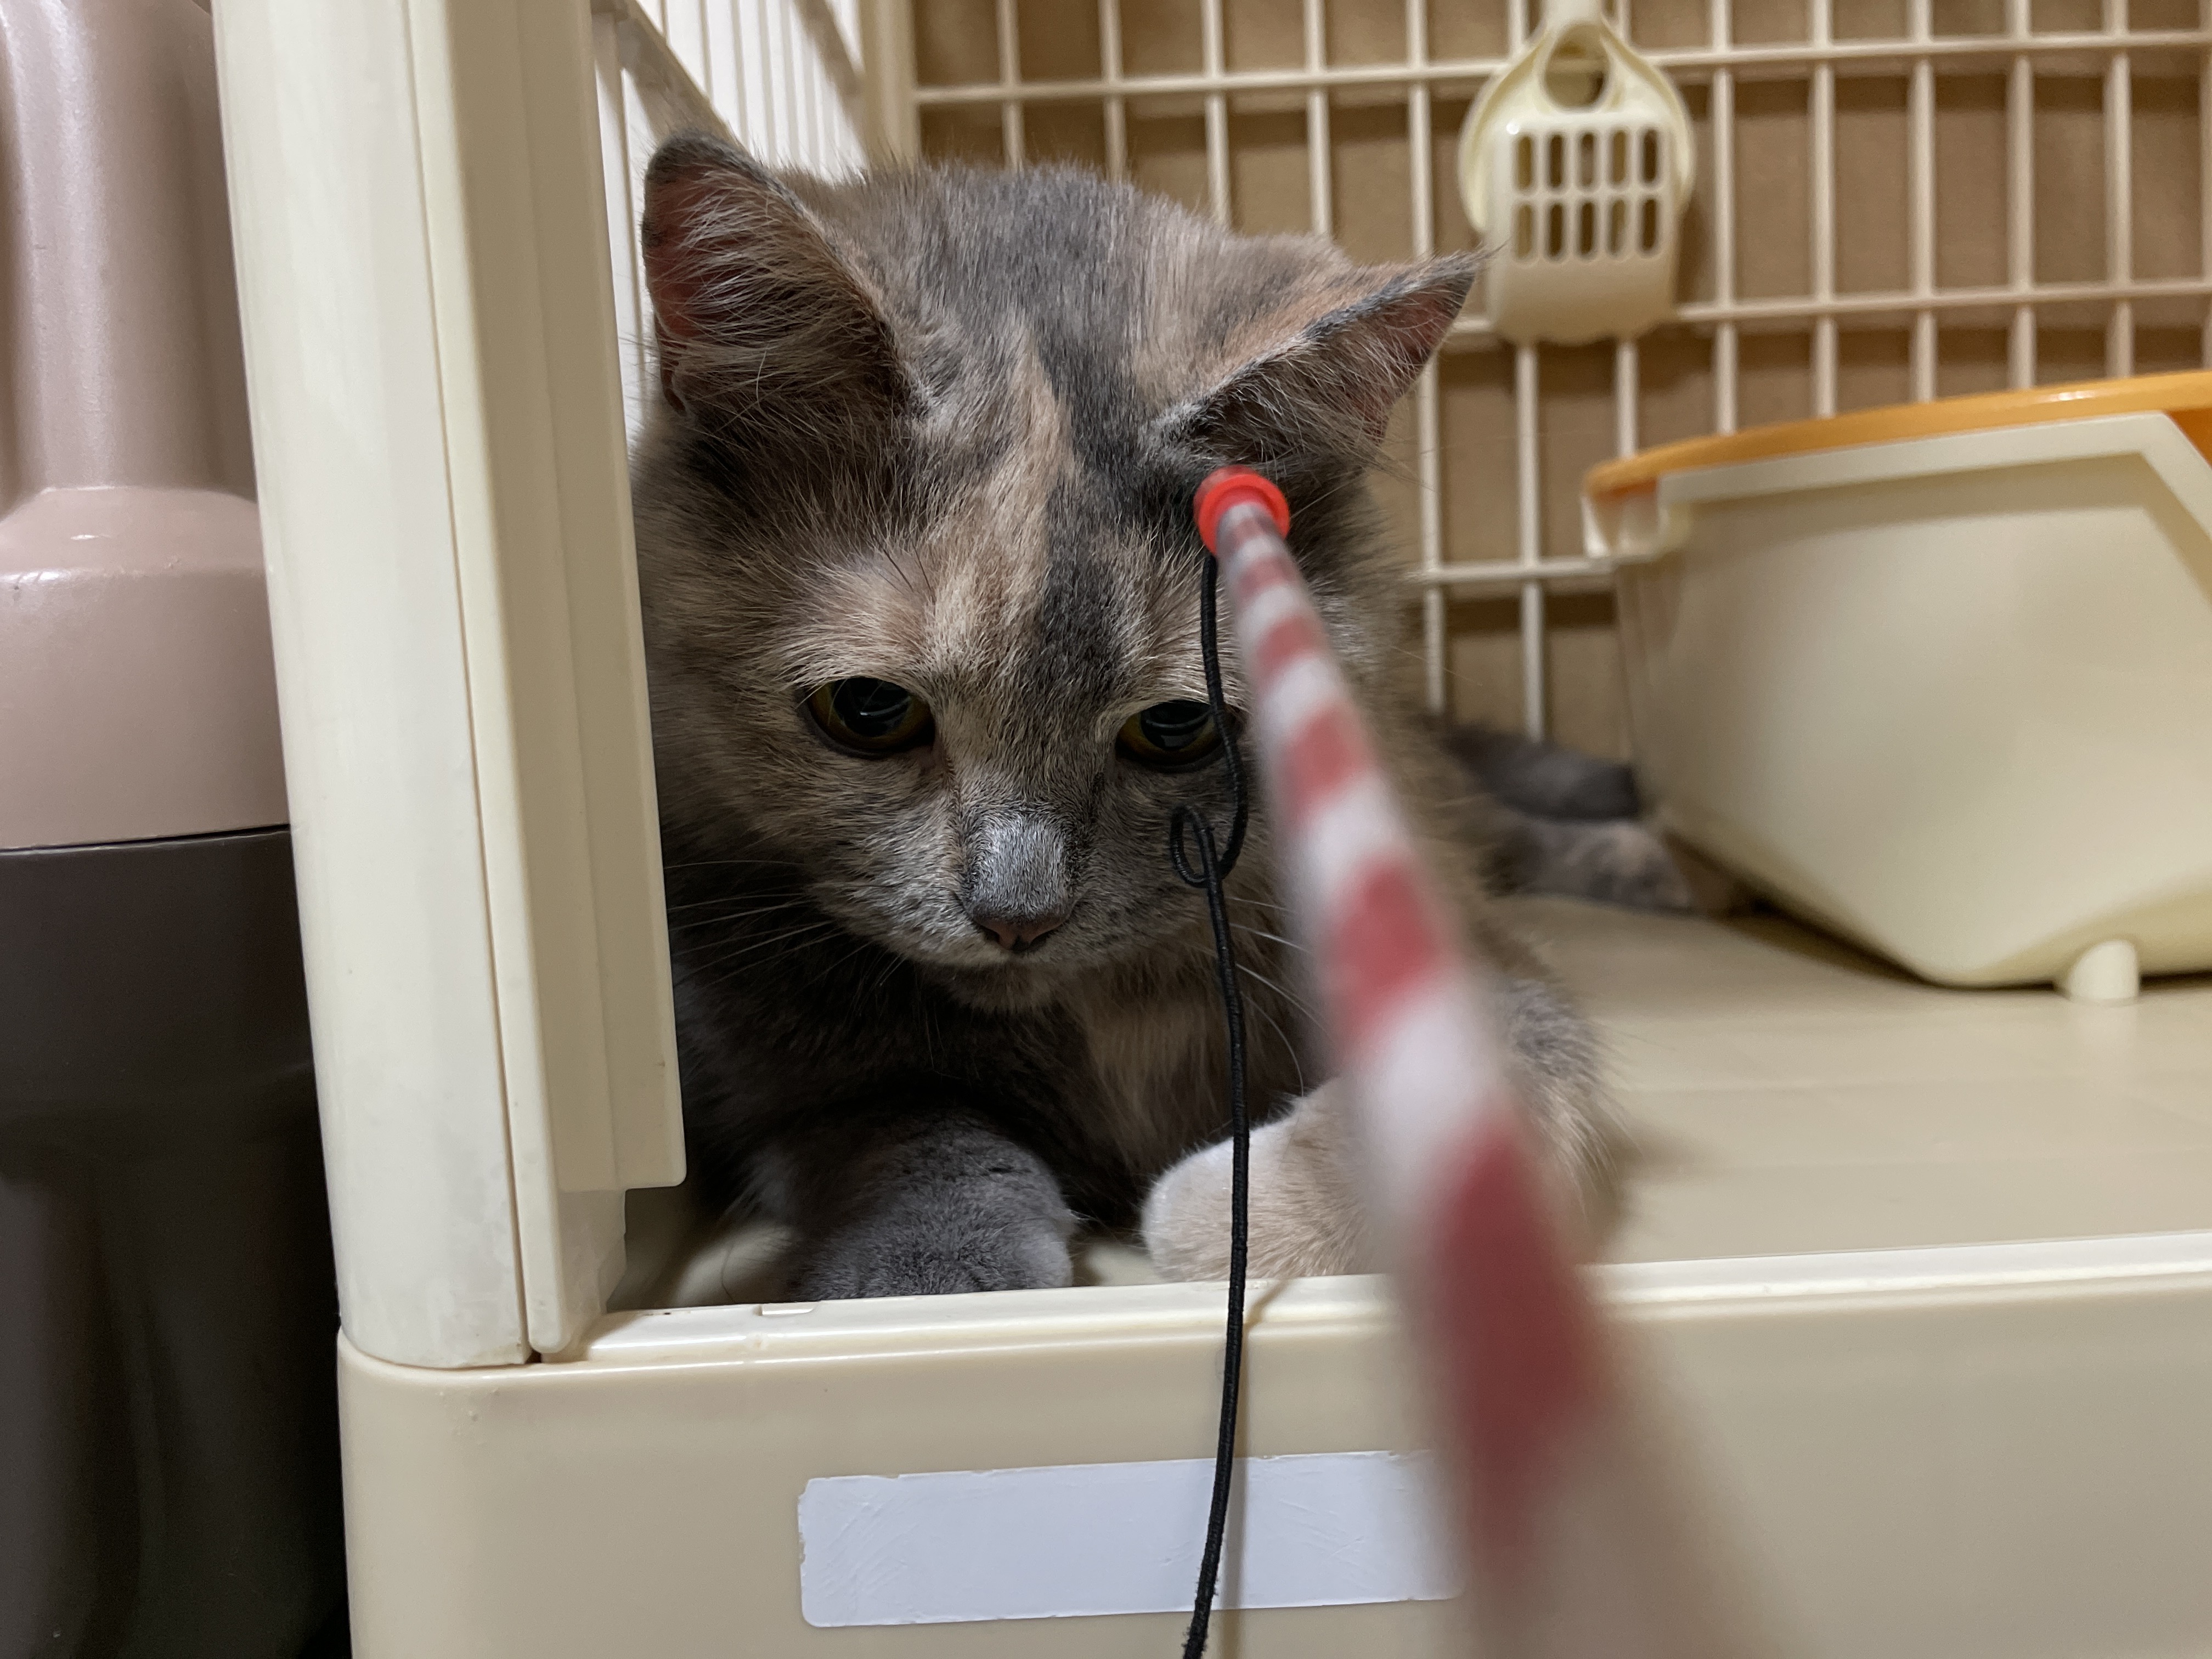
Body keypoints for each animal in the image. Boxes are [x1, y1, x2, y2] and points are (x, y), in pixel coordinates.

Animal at [631, 132, 1639, 1298]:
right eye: (870, 709)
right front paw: (934, 1272)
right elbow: (909, 1129)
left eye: (1174, 729)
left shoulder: (1454, 943)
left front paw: (1230, 1205)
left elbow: (1484, 1074)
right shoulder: (764, 1062)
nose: (1017, 913)